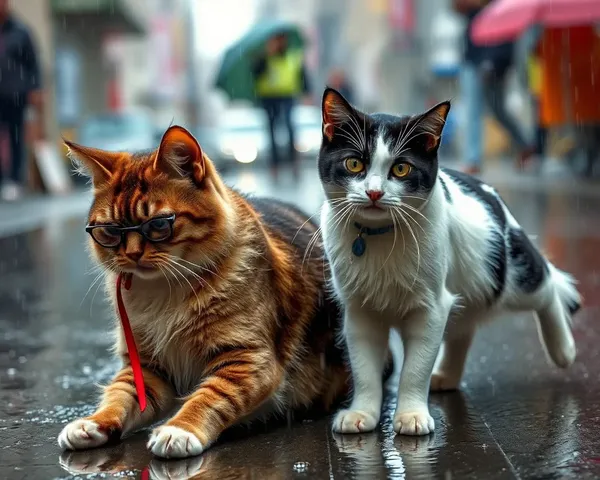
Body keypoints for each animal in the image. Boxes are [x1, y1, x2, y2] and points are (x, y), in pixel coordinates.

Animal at [58, 124, 350, 458]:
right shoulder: (147, 368)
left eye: (158, 225)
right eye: (109, 231)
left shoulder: (248, 359)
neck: (165, 292)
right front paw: (94, 422)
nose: (131, 254)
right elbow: (119, 394)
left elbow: (210, 396)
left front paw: (180, 428)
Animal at [318, 88, 580, 436]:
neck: (379, 237)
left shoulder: (430, 307)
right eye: (354, 163)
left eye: (401, 169)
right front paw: (362, 412)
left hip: (505, 274)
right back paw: (447, 375)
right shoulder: (360, 311)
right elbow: (364, 367)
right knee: (462, 327)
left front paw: (411, 415)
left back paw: (563, 349)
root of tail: (490, 191)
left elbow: (415, 367)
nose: (374, 193)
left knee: (546, 283)